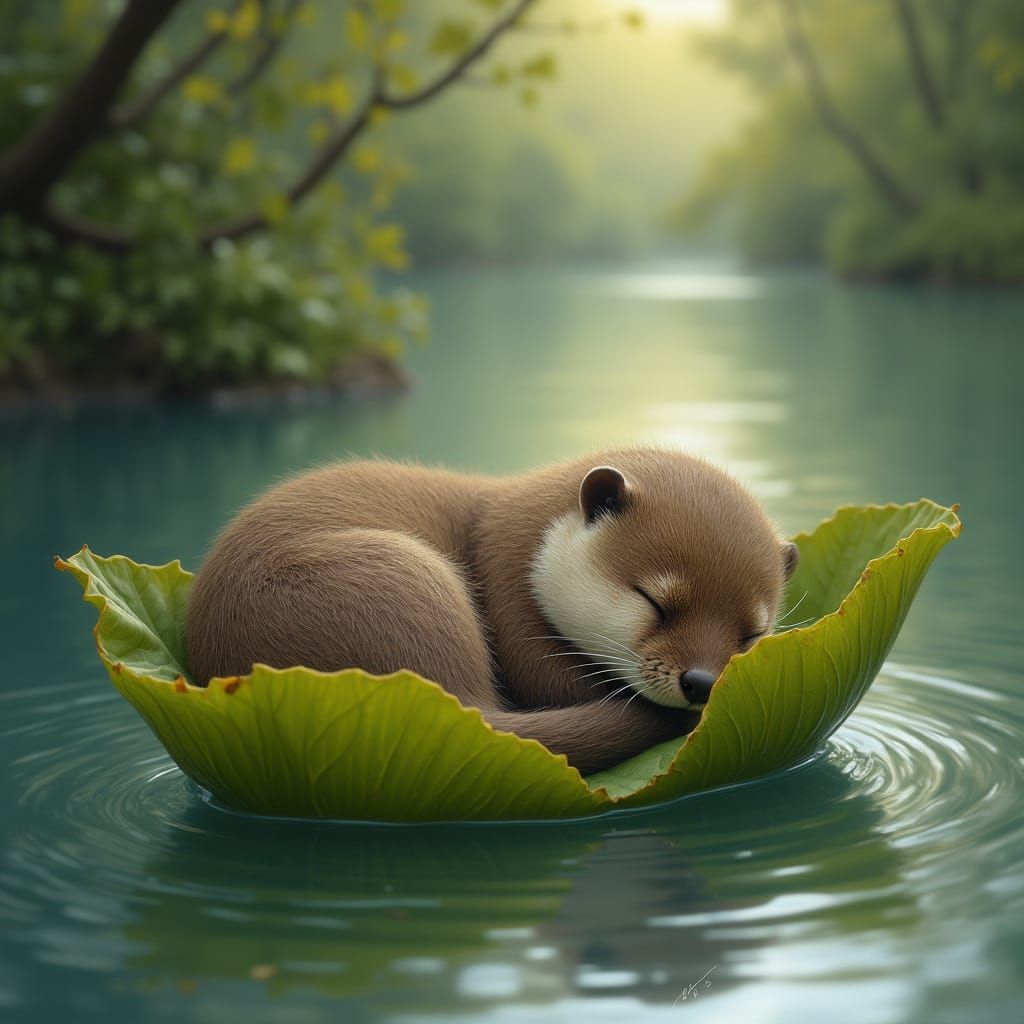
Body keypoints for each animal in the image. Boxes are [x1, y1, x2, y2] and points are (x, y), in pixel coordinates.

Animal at [185, 448, 798, 774]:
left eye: (750, 634)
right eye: (655, 601)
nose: (702, 682)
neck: (519, 540)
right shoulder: (509, 602)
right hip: (397, 578)